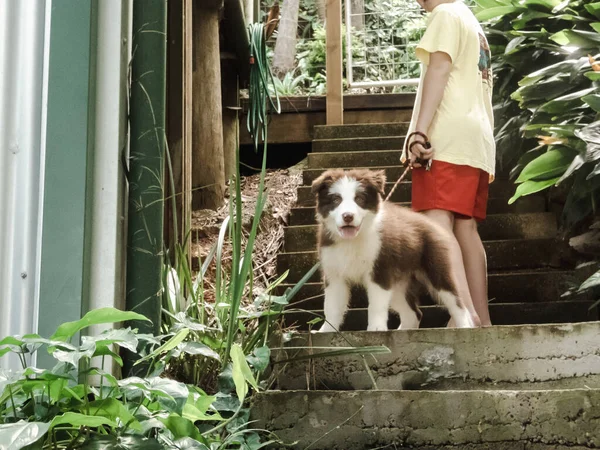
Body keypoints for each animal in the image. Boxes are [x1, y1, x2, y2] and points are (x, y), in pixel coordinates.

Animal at [312, 169, 476, 330]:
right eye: (336, 200)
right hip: (398, 283)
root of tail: (430, 223)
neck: (352, 241)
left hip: (436, 268)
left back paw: (464, 325)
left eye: (359, 199)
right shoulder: (334, 273)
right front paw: (326, 331)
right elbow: (332, 307)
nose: (348, 216)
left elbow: (376, 305)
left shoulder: (380, 269)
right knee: (414, 314)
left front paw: (376, 329)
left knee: (456, 301)